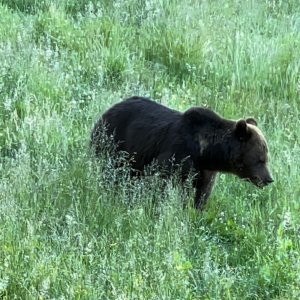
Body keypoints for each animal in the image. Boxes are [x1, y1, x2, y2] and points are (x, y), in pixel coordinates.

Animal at [90, 96, 274, 209]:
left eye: (266, 158)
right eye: (260, 159)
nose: (269, 179)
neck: (205, 153)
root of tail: (106, 111)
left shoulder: (205, 172)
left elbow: (201, 195)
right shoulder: (177, 155)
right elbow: (162, 184)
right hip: (113, 141)